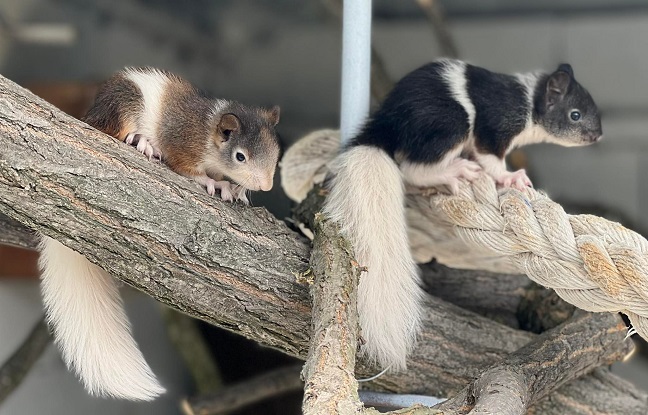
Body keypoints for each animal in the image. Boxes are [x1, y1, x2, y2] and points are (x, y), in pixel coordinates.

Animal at [38, 66, 280, 402]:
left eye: (276, 151)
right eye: (240, 157)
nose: (266, 186)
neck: (208, 131)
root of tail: (89, 117)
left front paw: (239, 190)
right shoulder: (182, 143)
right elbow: (188, 170)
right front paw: (215, 183)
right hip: (123, 105)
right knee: (113, 132)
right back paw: (141, 141)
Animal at [324, 59, 604, 374]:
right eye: (575, 115)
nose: (597, 135)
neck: (529, 102)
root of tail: (387, 123)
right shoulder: (493, 129)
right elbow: (492, 161)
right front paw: (510, 177)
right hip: (450, 122)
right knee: (412, 168)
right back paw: (454, 171)